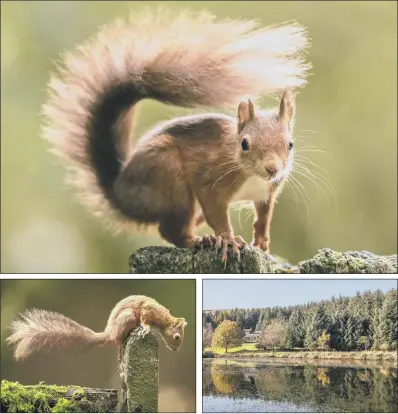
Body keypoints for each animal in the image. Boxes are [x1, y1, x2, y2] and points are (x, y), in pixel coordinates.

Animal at [42, 7, 310, 262]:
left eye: (290, 144)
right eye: (245, 143)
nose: (272, 168)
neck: (250, 174)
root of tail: (120, 192)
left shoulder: (267, 193)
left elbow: (263, 218)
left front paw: (262, 244)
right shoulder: (210, 181)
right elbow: (217, 214)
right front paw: (227, 240)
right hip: (170, 178)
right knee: (171, 230)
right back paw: (201, 241)